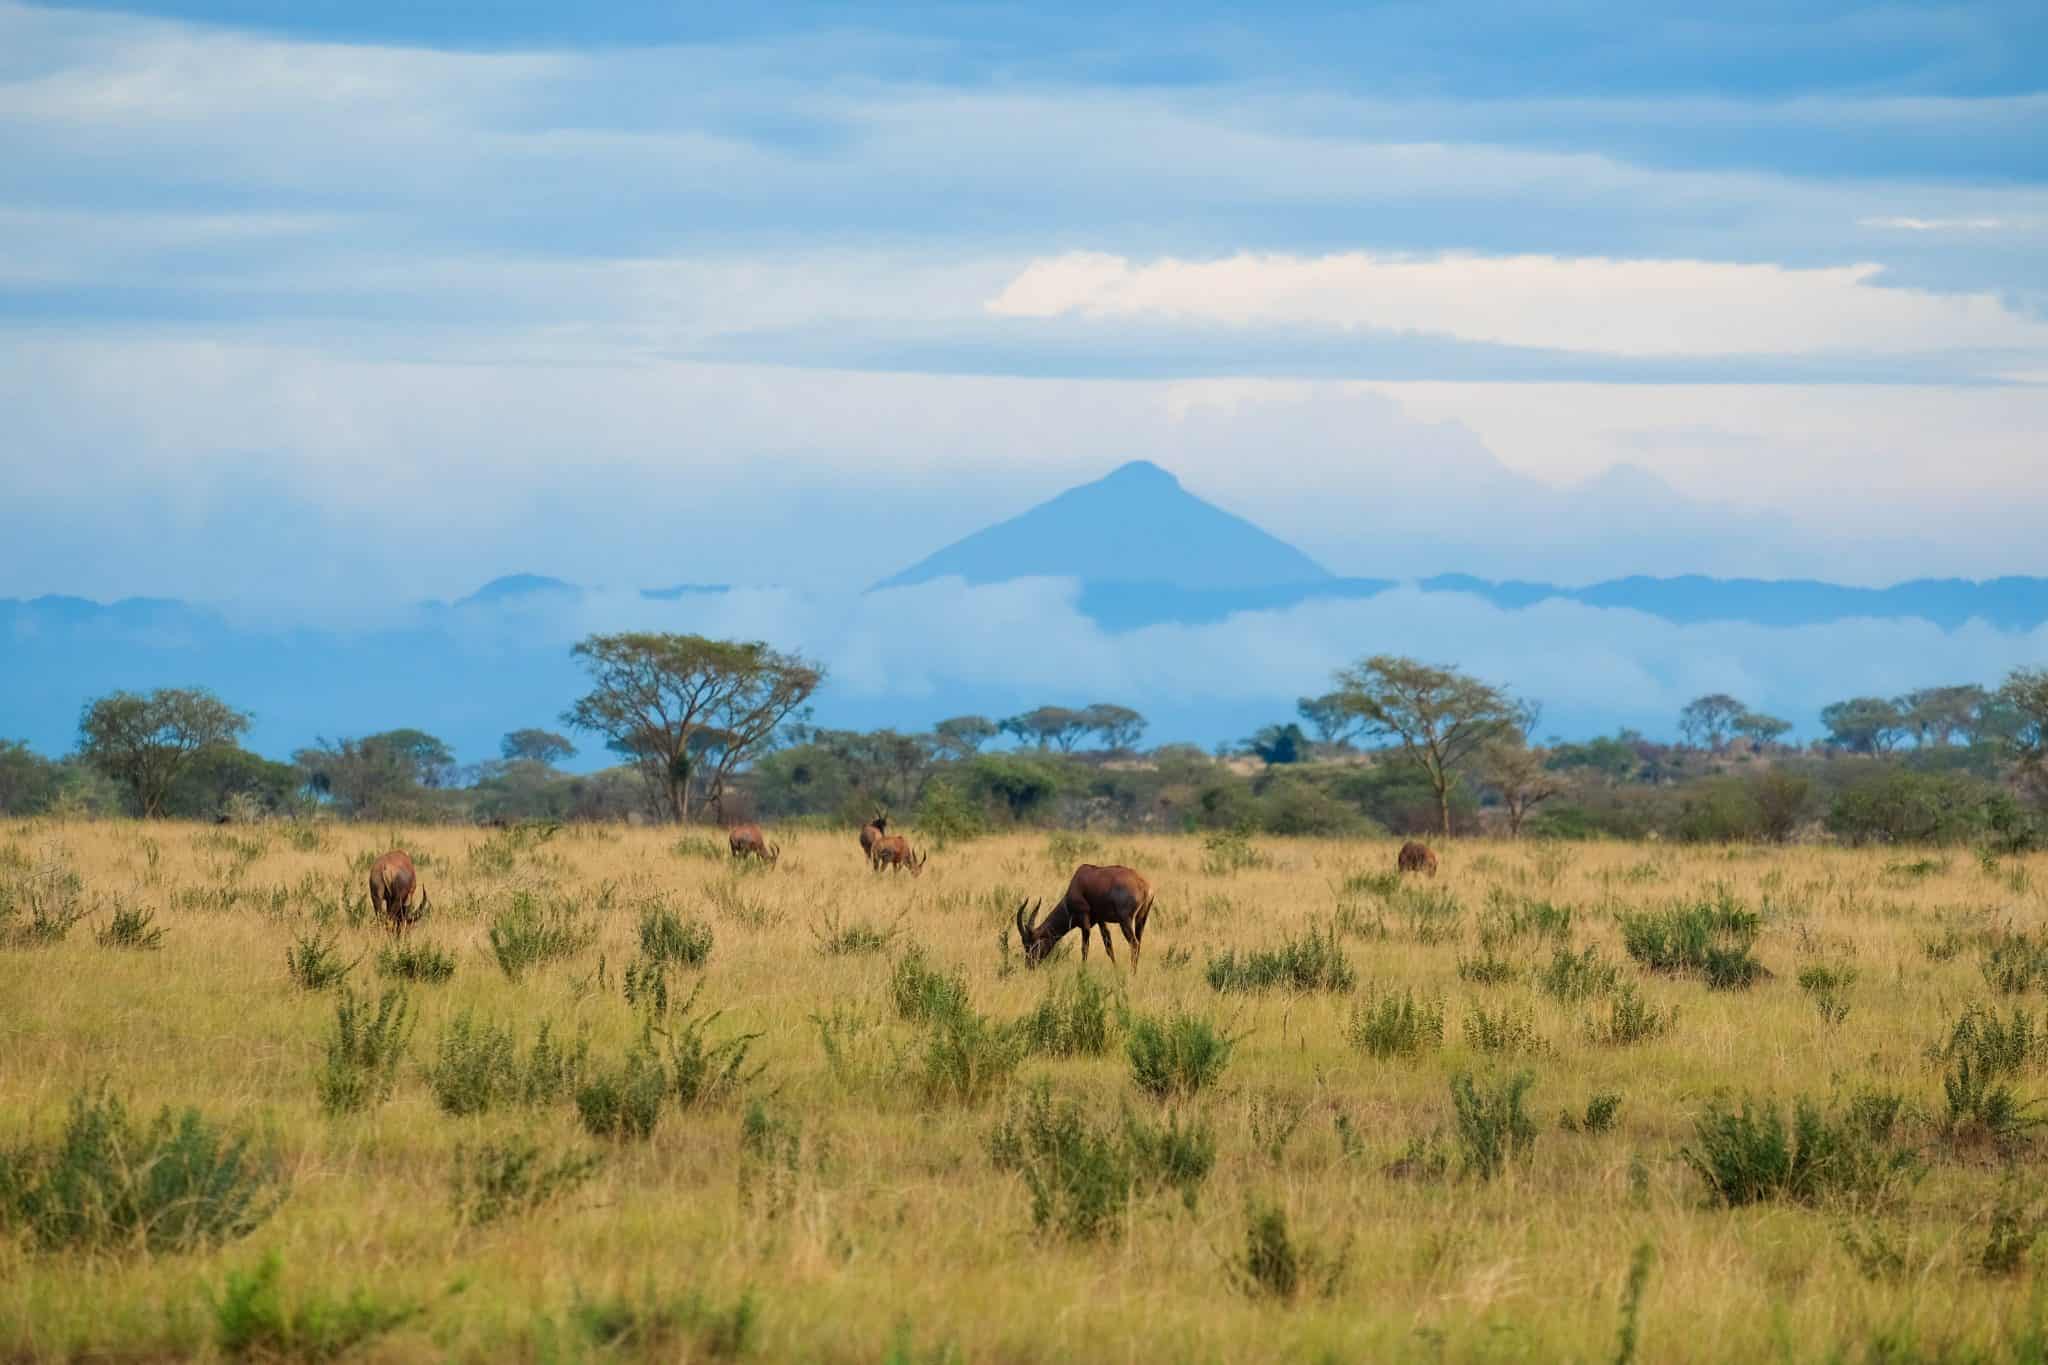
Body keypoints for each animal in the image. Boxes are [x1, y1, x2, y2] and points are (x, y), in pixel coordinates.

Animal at [1019, 863, 1155, 970]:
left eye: (1032, 945)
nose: (1029, 966)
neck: (1078, 881)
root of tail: (1145, 887)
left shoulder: (1085, 922)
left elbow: (1084, 948)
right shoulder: (1101, 920)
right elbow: (1108, 945)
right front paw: (1115, 968)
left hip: (1125, 921)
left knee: (1134, 943)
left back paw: (1132, 972)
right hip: (1141, 920)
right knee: (1139, 942)